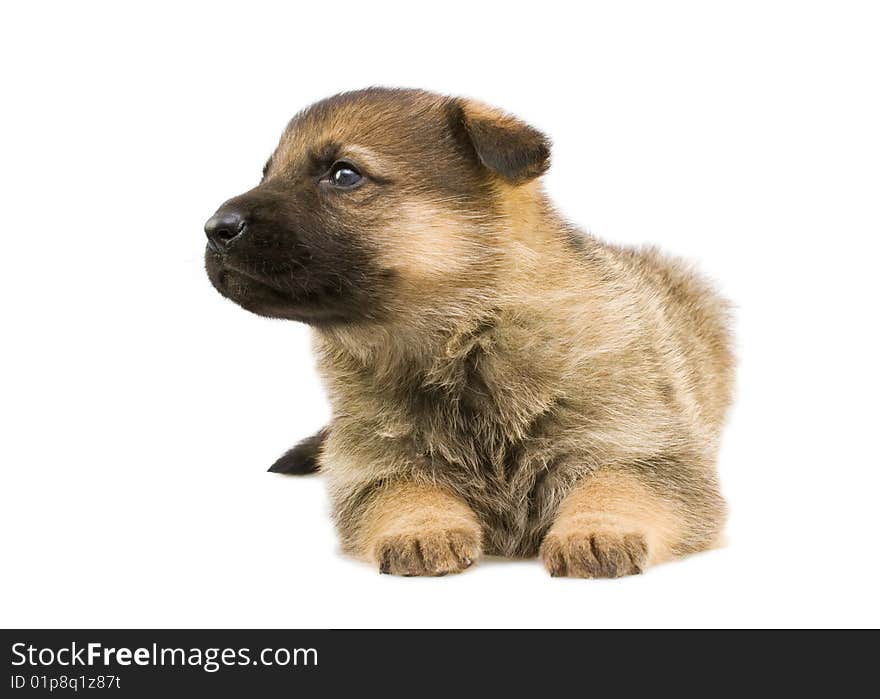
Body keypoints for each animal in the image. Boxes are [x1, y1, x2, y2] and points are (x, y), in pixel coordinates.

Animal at [203, 87, 732, 580]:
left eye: (344, 174)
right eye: (267, 173)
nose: (215, 228)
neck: (470, 337)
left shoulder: (644, 449)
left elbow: (617, 486)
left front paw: (598, 530)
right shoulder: (377, 464)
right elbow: (406, 492)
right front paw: (422, 530)